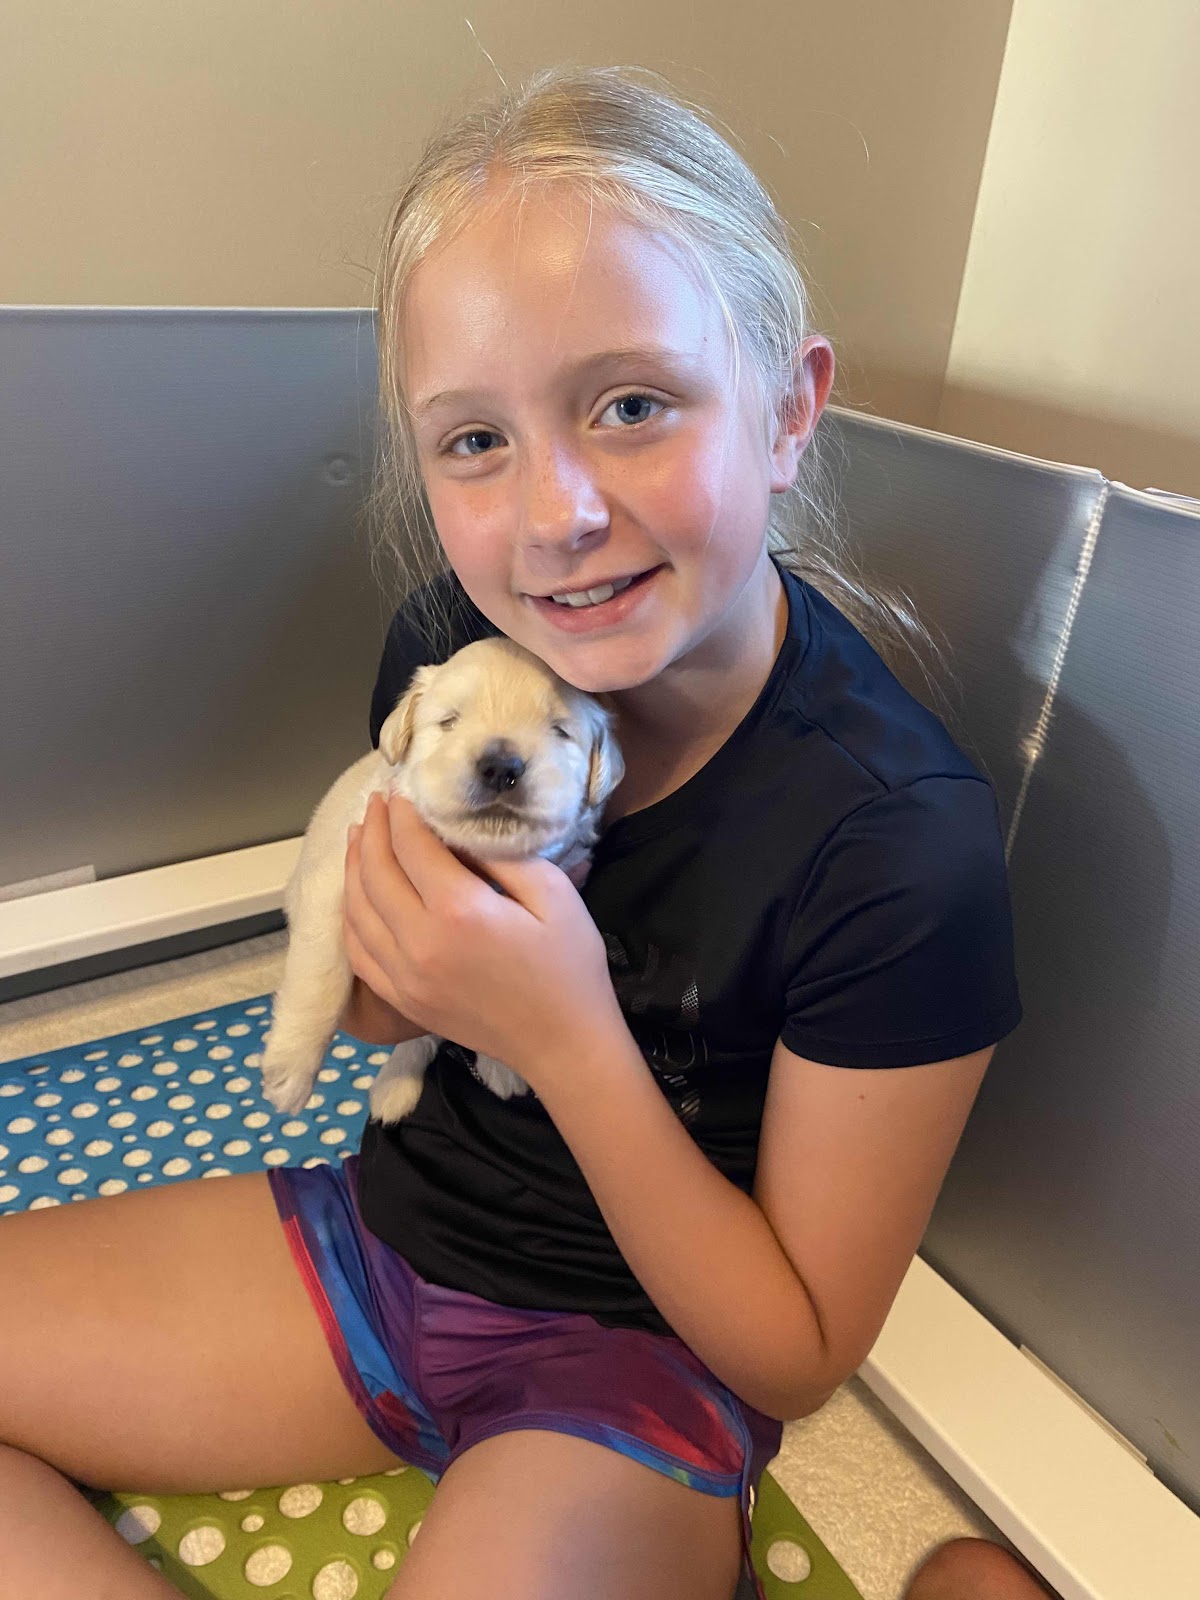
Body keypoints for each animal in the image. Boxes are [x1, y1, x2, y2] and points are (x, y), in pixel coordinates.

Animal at [259, 636, 624, 1126]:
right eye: (449, 721)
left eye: (560, 731)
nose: (500, 766)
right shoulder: (335, 881)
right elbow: (319, 976)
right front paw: (290, 1073)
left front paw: (506, 1062)